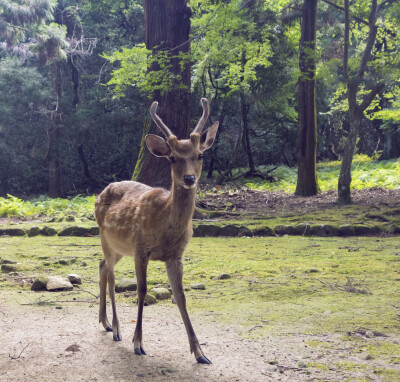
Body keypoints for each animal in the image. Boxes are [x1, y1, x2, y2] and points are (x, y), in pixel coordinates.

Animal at [94, 97, 219, 364]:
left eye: (200, 155)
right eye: (172, 158)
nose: (189, 178)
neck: (165, 228)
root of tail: (99, 194)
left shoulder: (176, 255)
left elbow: (180, 295)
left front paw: (200, 353)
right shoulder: (141, 249)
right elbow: (141, 290)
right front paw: (138, 343)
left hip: (120, 248)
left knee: (101, 266)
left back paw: (106, 323)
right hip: (105, 237)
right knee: (111, 276)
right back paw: (117, 329)